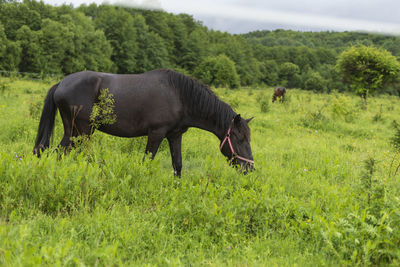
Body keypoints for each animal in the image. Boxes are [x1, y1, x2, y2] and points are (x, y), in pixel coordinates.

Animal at [32, 70, 255, 177]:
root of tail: (61, 84)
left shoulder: (175, 135)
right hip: (80, 132)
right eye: (238, 138)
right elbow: (146, 162)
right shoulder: (156, 134)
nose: (249, 169)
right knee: (60, 153)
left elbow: (178, 164)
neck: (179, 96)